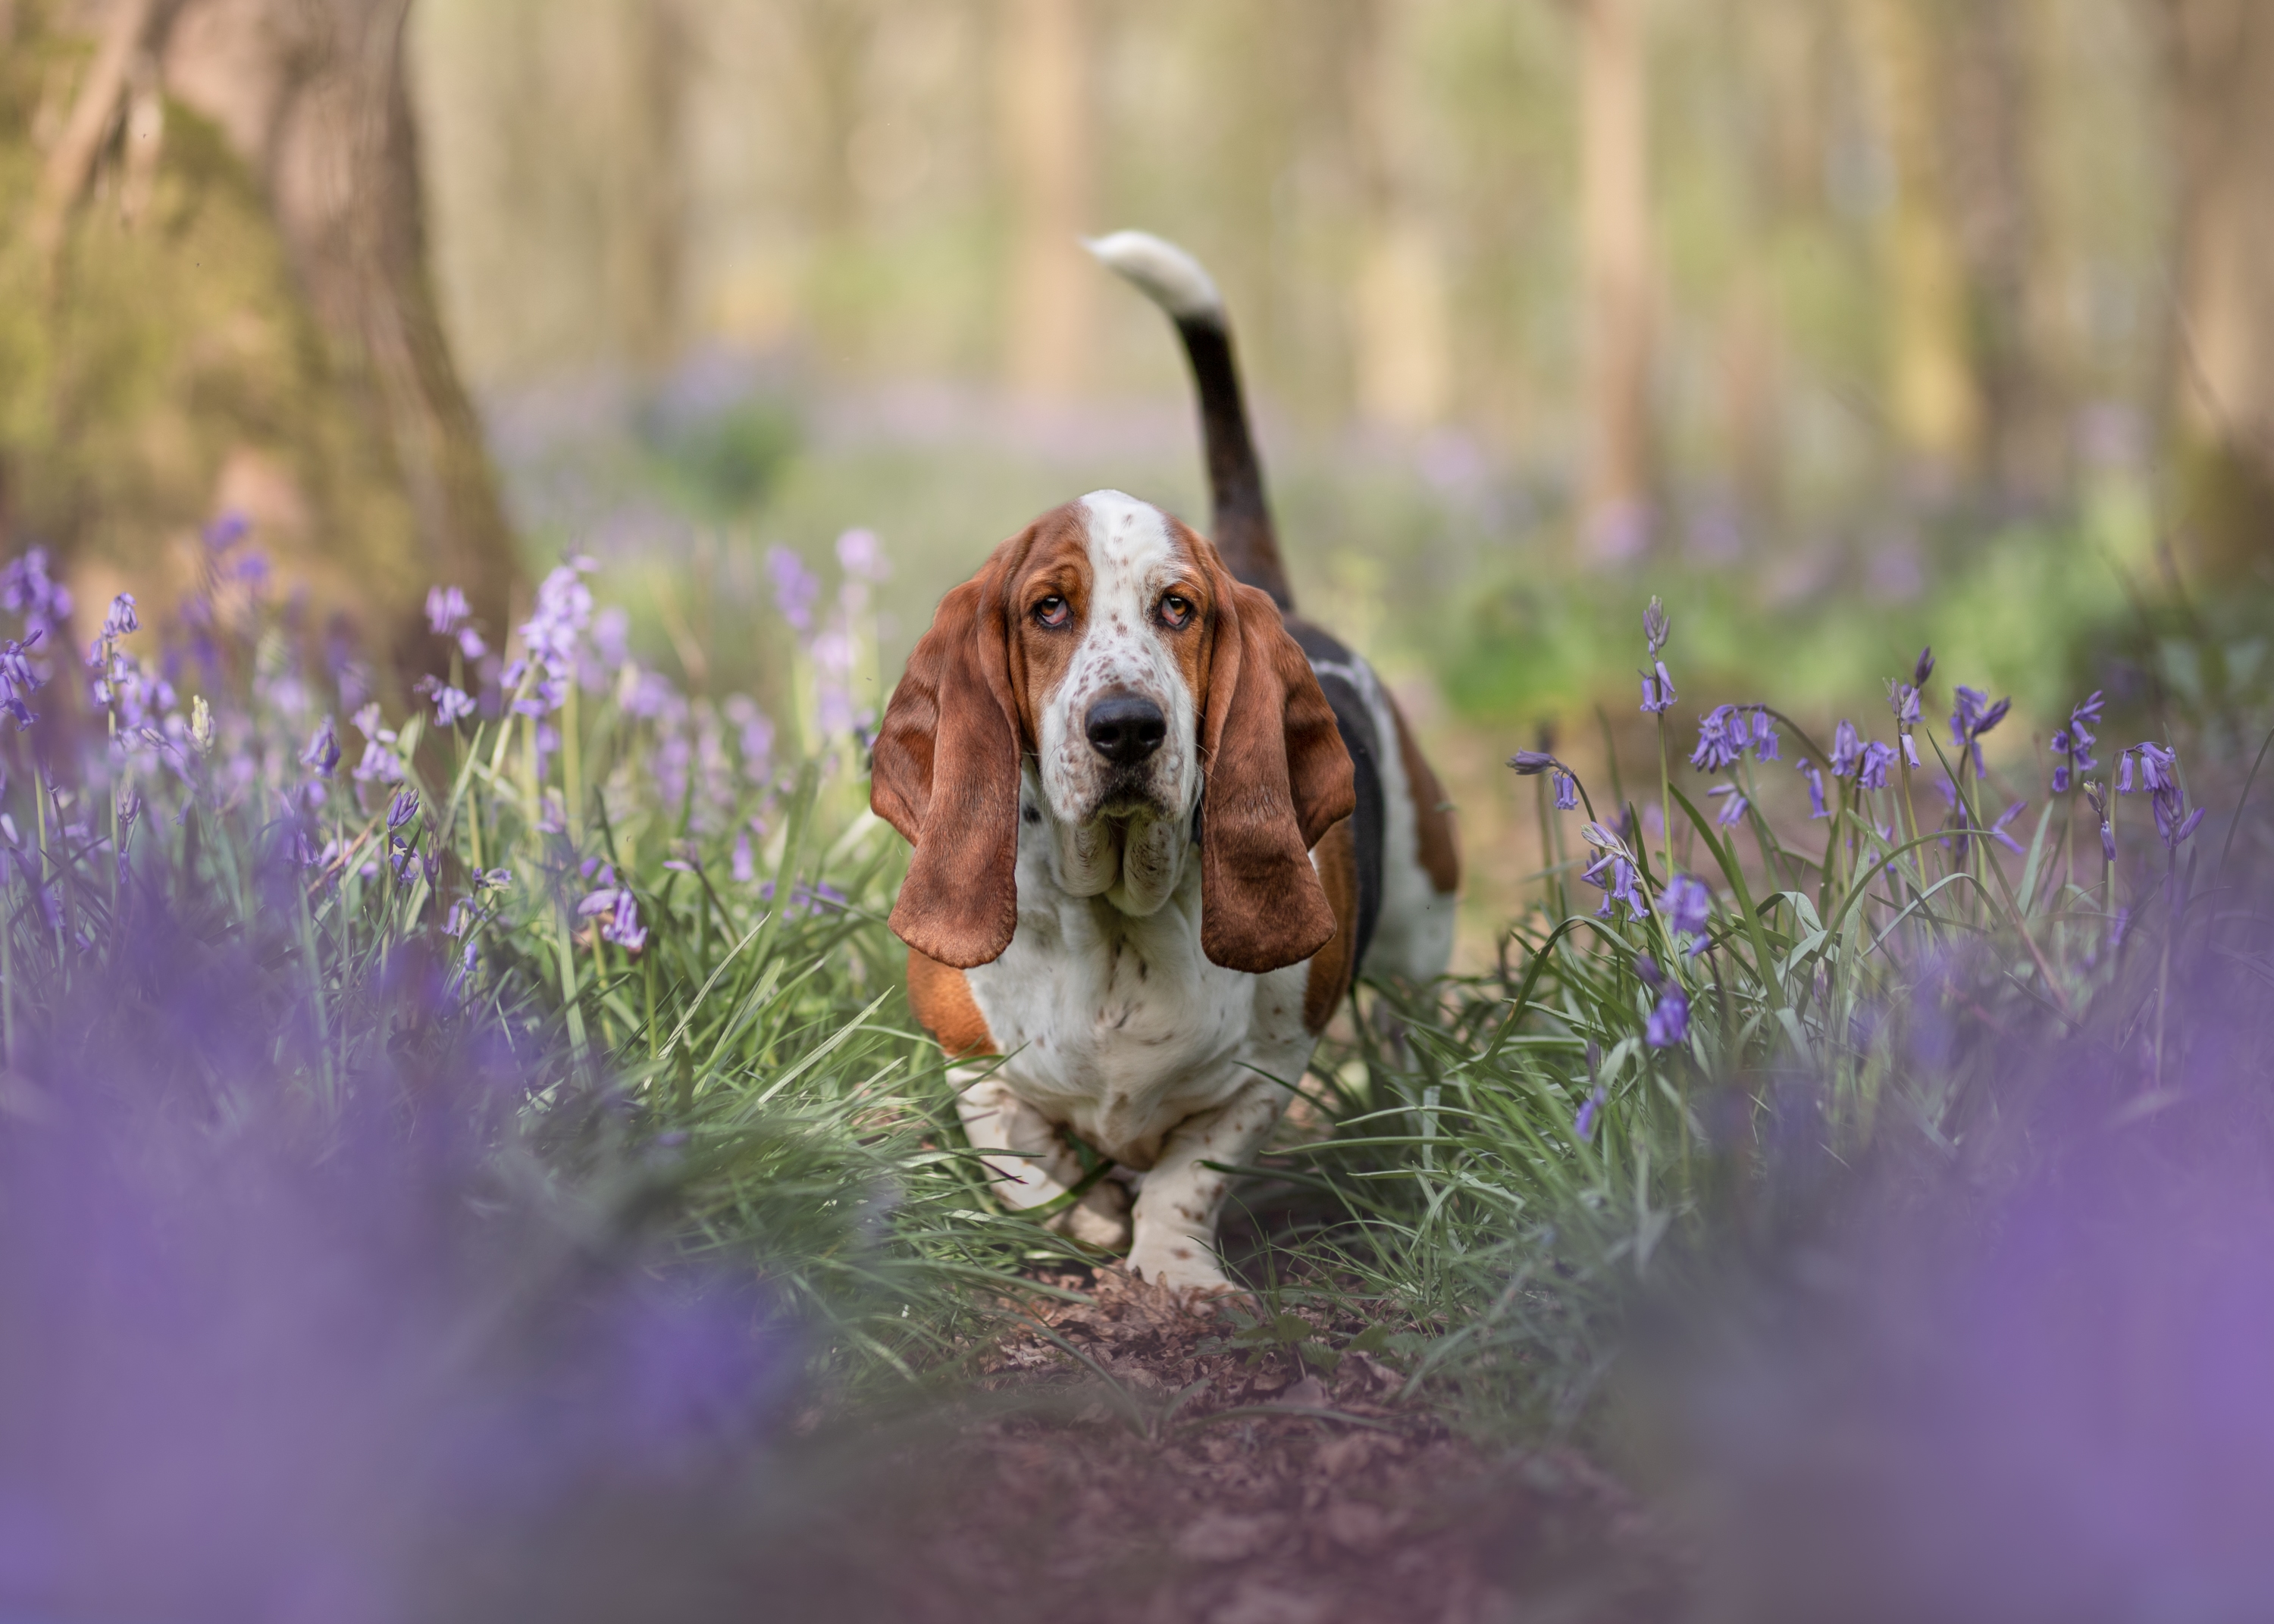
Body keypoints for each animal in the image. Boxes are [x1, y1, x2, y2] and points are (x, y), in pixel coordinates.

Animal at [869, 230, 1455, 1291]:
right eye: (1047, 608)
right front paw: (1085, 1220)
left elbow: (1193, 1172)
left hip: (1420, 943)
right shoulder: (969, 1058)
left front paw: (1176, 1271)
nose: (1128, 728)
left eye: (1179, 607)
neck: (1116, 921)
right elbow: (1024, 1159)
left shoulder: (1269, 1064)